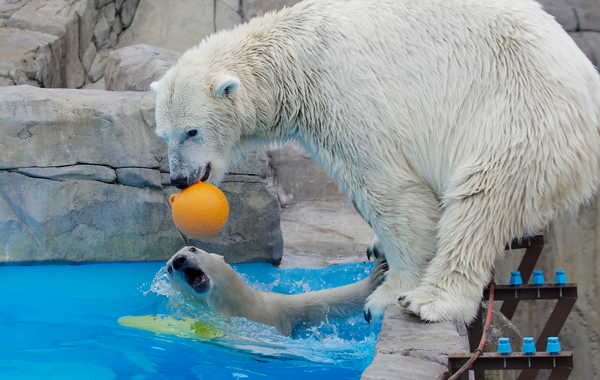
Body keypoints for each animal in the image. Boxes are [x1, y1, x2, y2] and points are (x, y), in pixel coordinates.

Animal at [150, 0, 600, 324]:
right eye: (164, 133)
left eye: (192, 131)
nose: (180, 179)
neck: (294, 53)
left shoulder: (344, 91)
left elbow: (387, 186)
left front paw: (385, 294)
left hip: (519, 112)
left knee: (484, 196)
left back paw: (430, 300)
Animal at [165, 246, 390, 336]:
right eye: (168, 269)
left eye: (192, 248)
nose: (178, 260)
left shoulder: (280, 308)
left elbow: (324, 302)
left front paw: (377, 275)